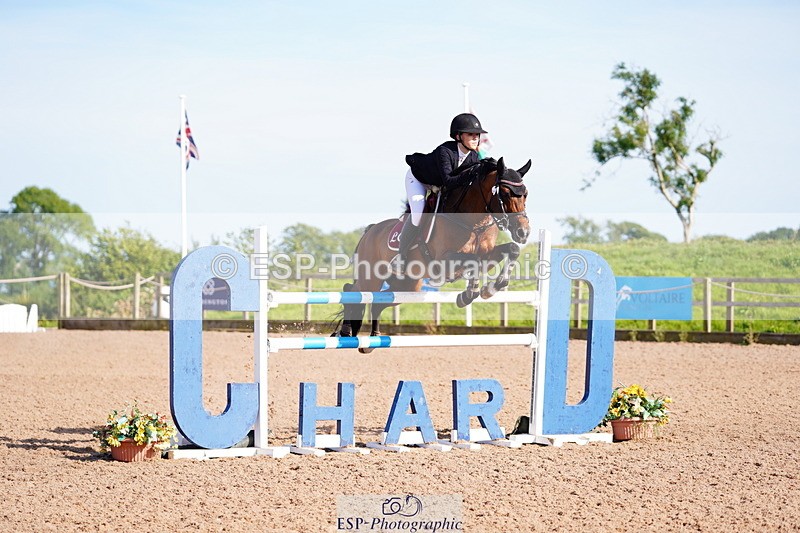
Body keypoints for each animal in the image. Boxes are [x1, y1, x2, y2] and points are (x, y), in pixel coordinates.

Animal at [334, 157, 532, 352]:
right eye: (505, 193)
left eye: (525, 194)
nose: (523, 232)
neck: (472, 222)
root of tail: (370, 231)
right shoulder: (444, 261)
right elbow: (474, 261)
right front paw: (469, 294)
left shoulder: (487, 256)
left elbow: (512, 249)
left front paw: (490, 289)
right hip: (372, 279)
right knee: (351, 291)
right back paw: (345, 332)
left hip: (407, 286)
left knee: (377, 302)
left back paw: (372, 340)